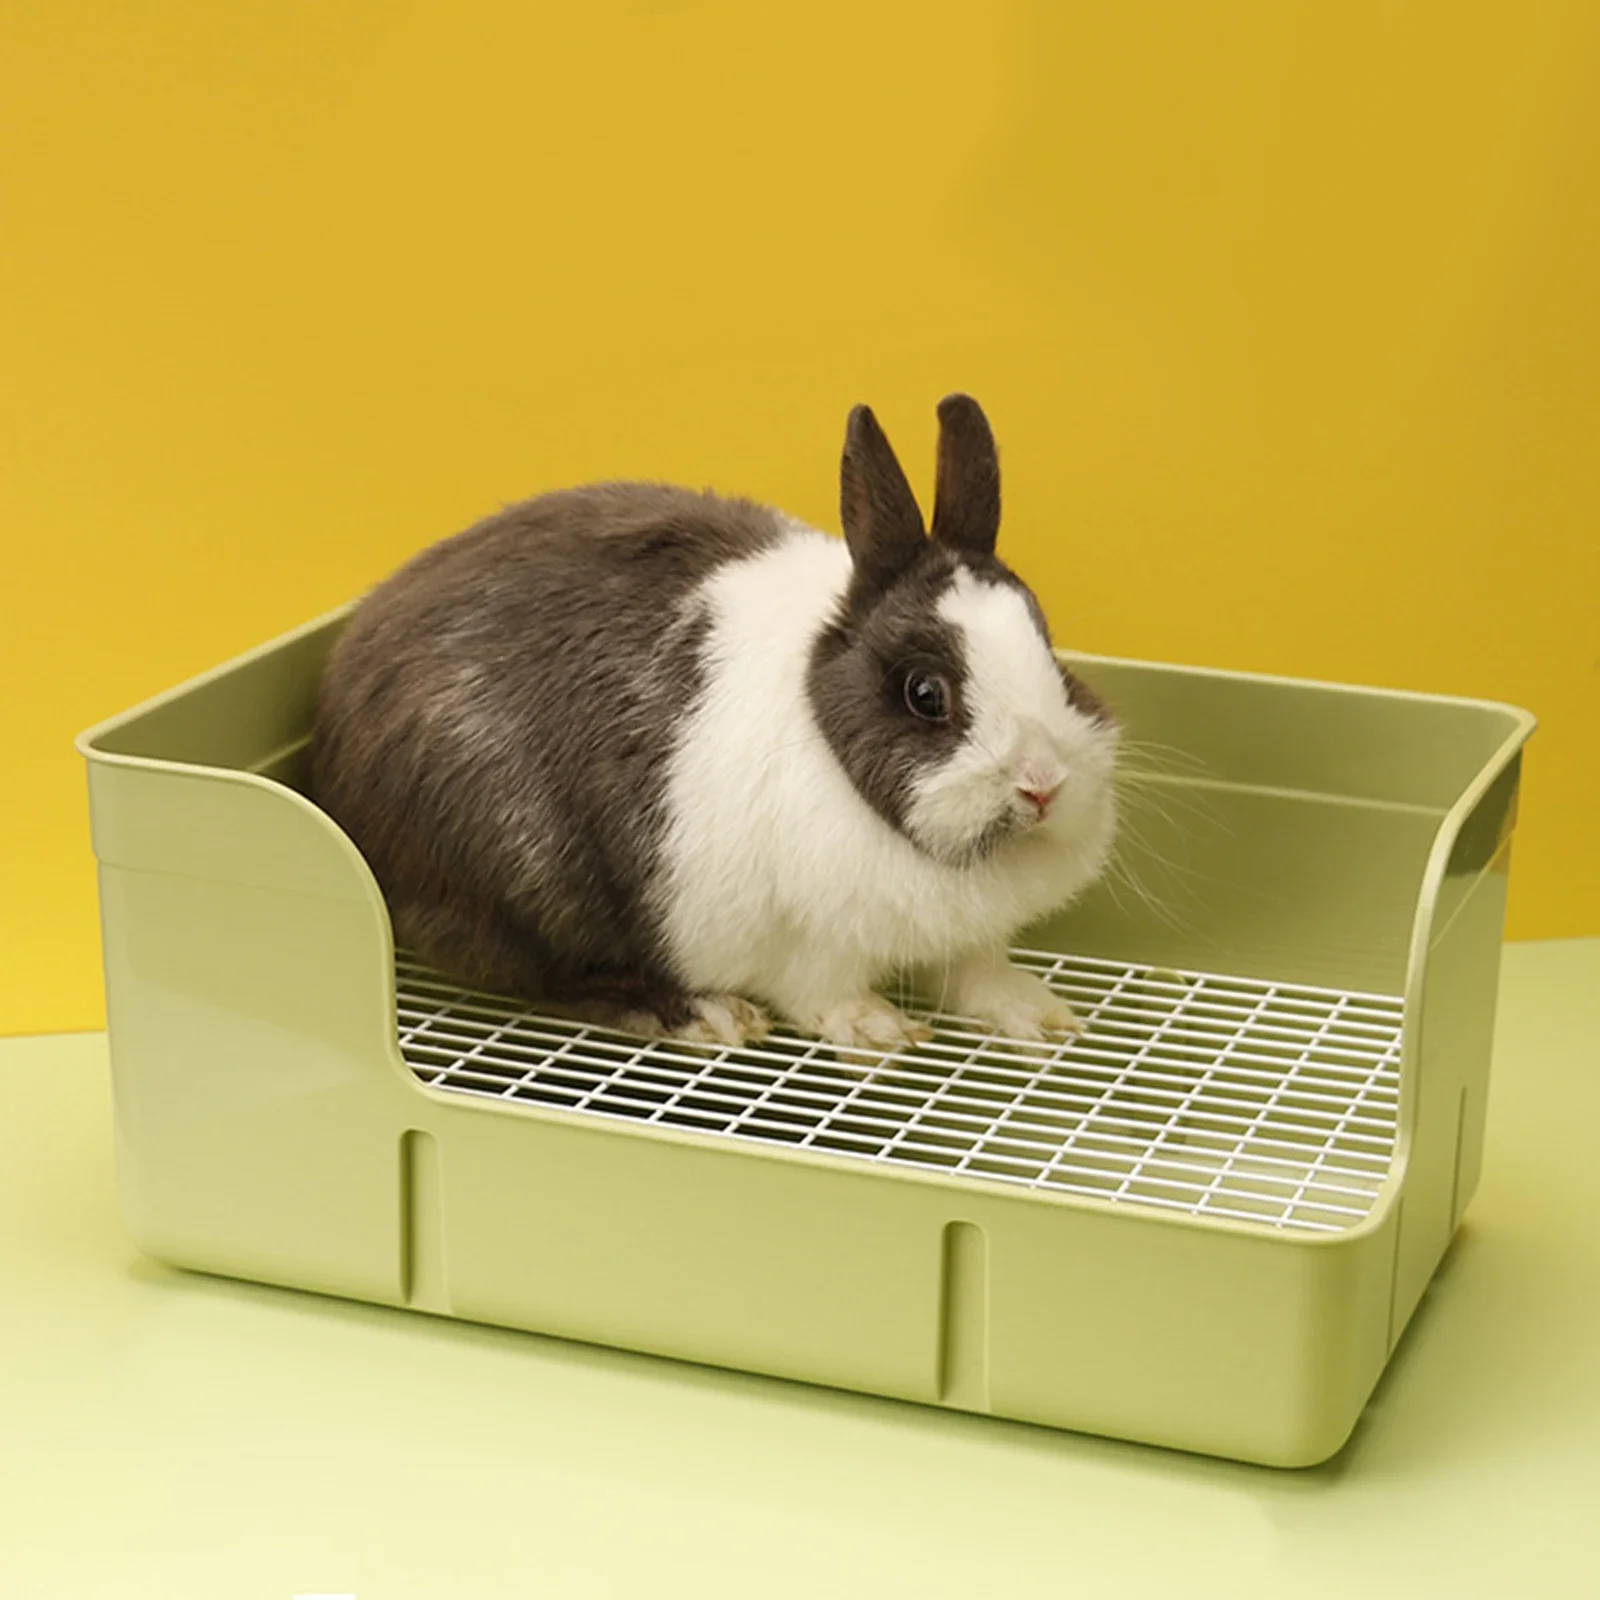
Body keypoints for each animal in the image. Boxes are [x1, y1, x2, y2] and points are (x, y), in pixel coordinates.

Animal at [310, 394, 1118, 1052]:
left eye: (1049, 649)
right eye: (925, 693)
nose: (1043, 785)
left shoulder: (962, 939)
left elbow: (977, 972)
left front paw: (1042, 1015)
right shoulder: (802, 941)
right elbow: (822, 990)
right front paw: (877, 1029)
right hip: (518, 877)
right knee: (549, 975)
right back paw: (700, 1013)